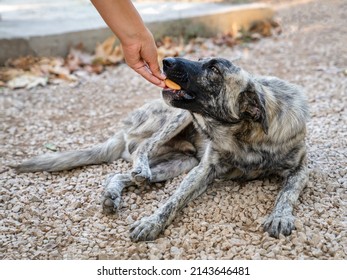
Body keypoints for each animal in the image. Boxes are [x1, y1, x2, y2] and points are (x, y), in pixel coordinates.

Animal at [13, 57, 310, 241]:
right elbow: (172, 201)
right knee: (142, 149)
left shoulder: (301, 168)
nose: (165, 61)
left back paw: (113, 194)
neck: (244, 134)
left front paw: (280, 216)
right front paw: (152, 222)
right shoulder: (203, 170)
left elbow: (287, 193)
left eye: (214, 70)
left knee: (122, 174)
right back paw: (134, 173)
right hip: (177, 120)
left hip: (180, 162)